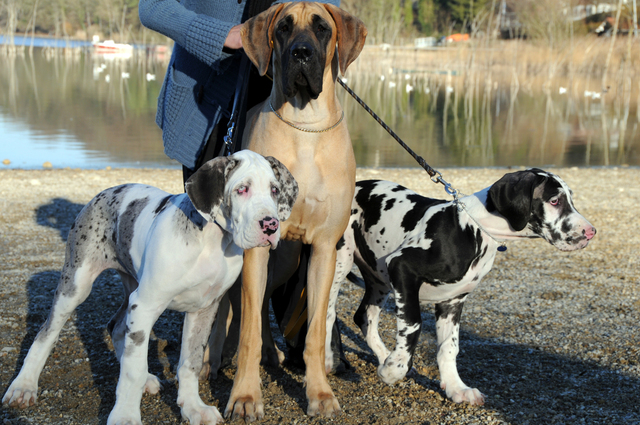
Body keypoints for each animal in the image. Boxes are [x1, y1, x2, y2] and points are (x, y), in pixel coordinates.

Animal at [3, 150, 298, 424]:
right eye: (241, 189)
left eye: (274, 190)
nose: (270, 225)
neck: (212, 241)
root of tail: (105, 192)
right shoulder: (146, 304)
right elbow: (132, 371)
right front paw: (125, 416)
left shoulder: (202, 309)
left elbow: (189, 363)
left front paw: (193, 408)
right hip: (76, 285)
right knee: (46, 332)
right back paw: (23, 387)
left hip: (132, 286)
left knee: (117, 327)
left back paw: (145, 378)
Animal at [328, 166, 596, 404]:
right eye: (554, 201)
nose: (591, 232)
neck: (473, 229)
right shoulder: (402, 268)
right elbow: (413, 325)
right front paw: (394, 369)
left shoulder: (453, 300)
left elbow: (449, 347)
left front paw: (456, 388)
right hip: (339, 264)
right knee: (327, 314)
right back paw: (332, 360)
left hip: (378, 278)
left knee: (364, 316)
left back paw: (383, 356)